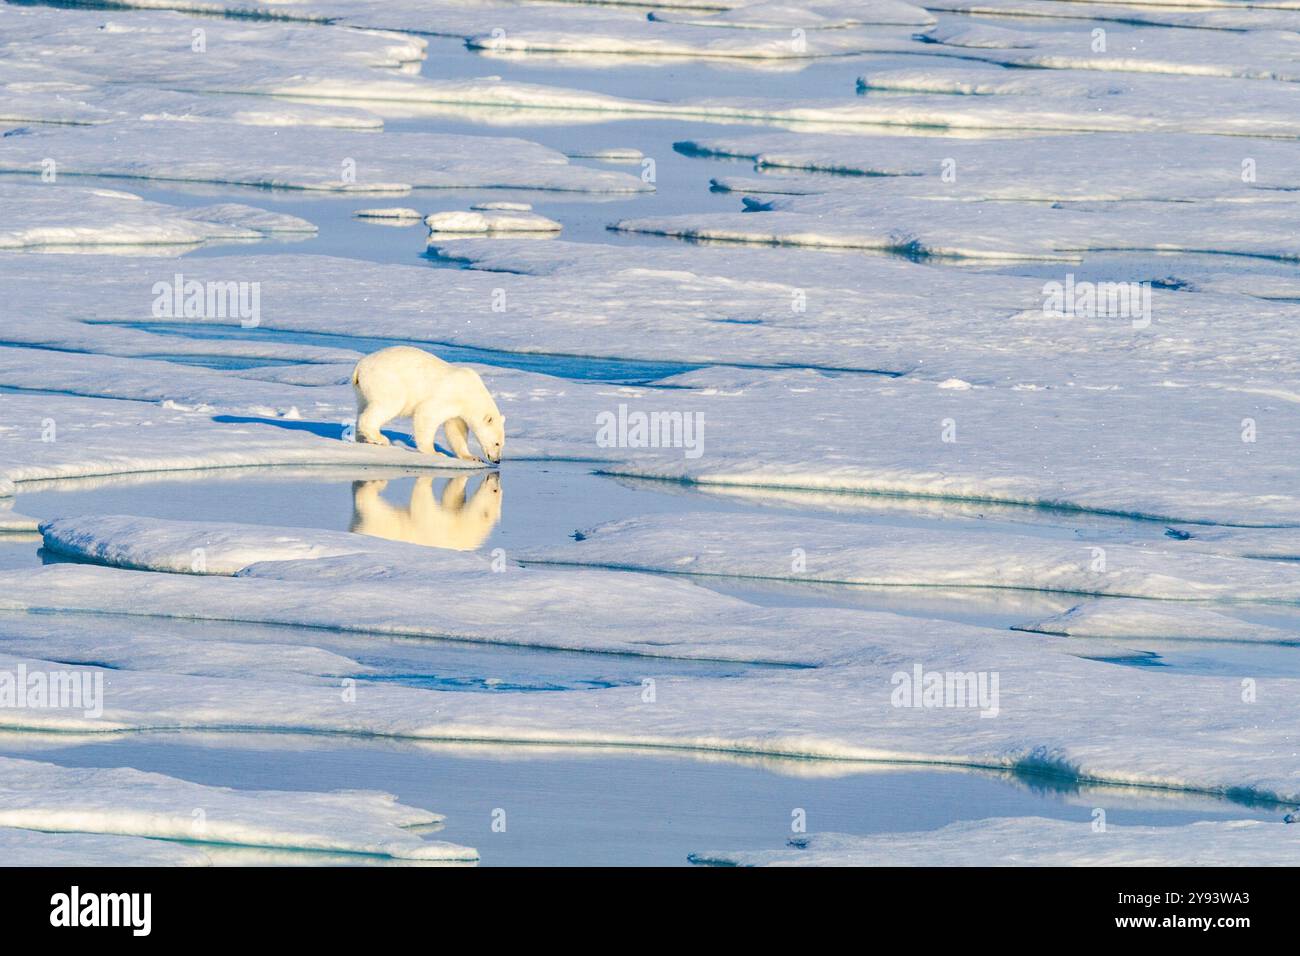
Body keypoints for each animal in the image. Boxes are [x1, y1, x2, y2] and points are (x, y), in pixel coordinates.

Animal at [353, 345, 504, 465]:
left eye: (502, 444)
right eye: (497, 443)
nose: (497, 460)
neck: (470, 392)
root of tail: (360, 366)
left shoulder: (457, 409)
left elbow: (456, 429)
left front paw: (471, 457)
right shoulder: (447, 395)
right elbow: (426, 414)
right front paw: (435, 452)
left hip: (363, 389)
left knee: (362, 407)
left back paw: (364, 439)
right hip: (386, 380)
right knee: (390, 403)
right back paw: (380, 438)